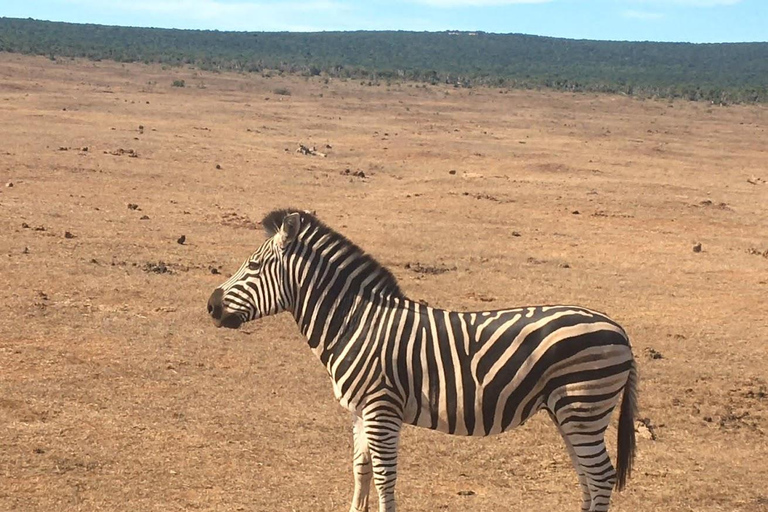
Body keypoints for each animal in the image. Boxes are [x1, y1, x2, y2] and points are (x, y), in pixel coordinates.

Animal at [207, 209, 640, 512]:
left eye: (253, 266)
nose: (211, 305)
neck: (355, 322)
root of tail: (619, 330)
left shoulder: (381, 407)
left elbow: (384, 477)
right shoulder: (360, 411)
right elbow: (361, 471)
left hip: (583, 407)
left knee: (601, 477)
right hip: (569, 413)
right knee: (586, 476)